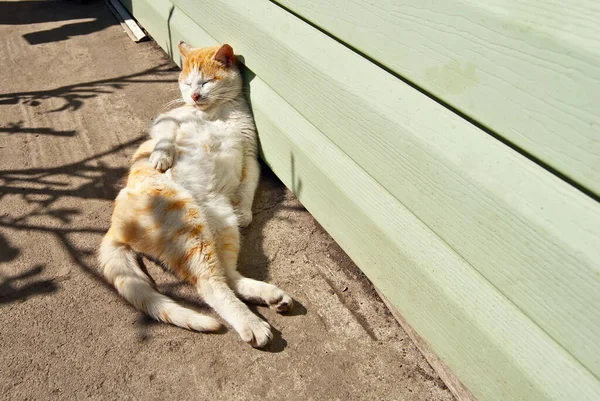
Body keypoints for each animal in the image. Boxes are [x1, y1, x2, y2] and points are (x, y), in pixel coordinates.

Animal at [98, 41, 292, 346]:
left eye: (206, 81)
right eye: (187, 83)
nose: (194, 95)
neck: (217, 111)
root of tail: (114, 227)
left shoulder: (250, 155)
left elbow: (248, 186)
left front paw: (245, 211)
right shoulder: (166, 119)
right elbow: (164, 138)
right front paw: (161, 158)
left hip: (222, 224)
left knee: (228, 277)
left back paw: (270, 296)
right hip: (187, 225)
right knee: (209, 285)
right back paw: (253, 325)